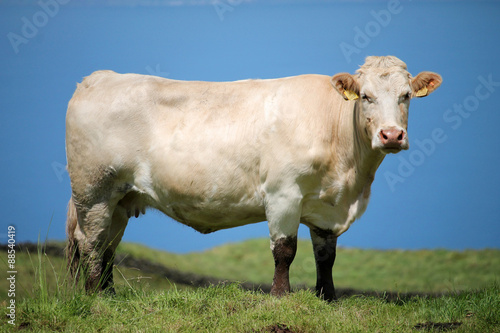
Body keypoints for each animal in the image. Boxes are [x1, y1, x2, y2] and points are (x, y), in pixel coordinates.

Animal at [65, 55, 442, 300]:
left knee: (109, 245)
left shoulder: (326, 206)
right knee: (91, 242)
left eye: (406, 95)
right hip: (94, 191)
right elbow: (284, 249)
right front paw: (281, 295)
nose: (391, 135)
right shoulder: (283, 193)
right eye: (366, 96)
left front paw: (327, 296)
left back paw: (110, 294)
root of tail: (97, 78)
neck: (350, 179)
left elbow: (326, 254)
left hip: (121, 197)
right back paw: (94, 294)